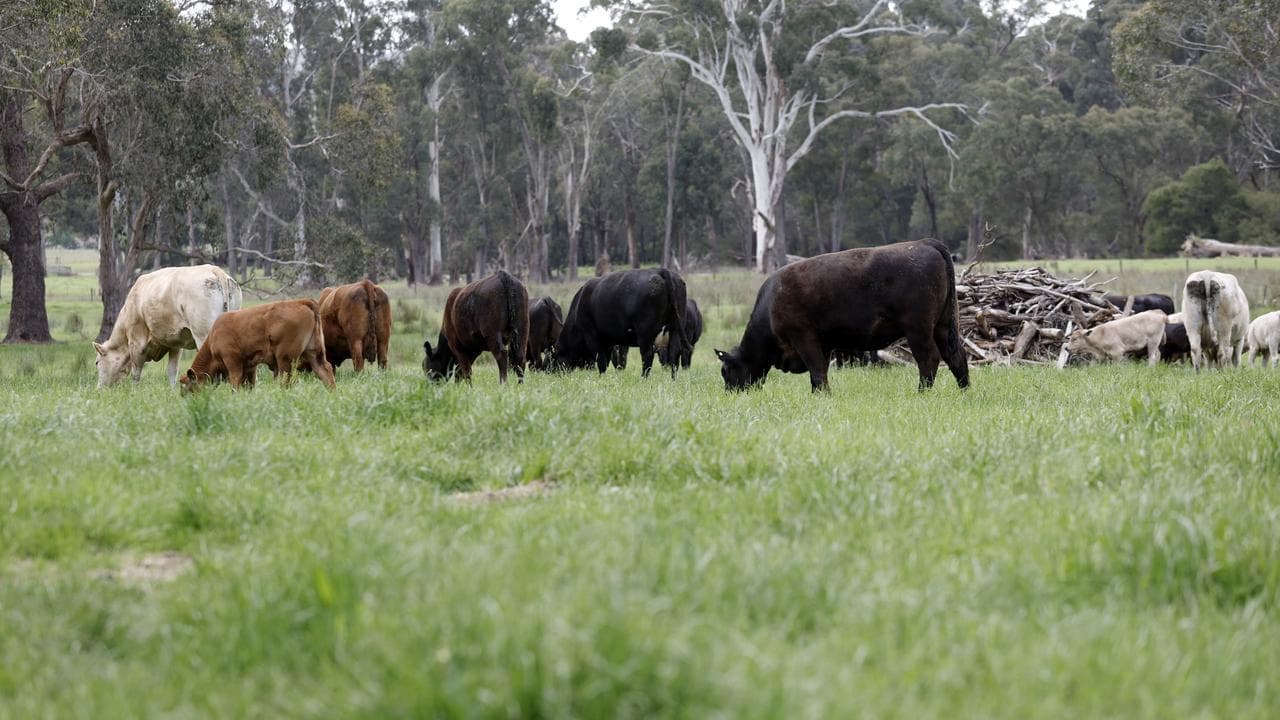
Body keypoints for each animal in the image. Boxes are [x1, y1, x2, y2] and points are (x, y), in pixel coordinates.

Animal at [94, 264, 242, 388]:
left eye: (97, 362)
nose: (99, 389)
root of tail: (216, 270)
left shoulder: (136, 342)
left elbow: (136, 372)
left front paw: (134, 392)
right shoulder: (175, 344)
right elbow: (172, 371)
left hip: (203, 334)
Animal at [179, 299, 335, 392]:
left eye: (187, 387)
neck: (213, 337)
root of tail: (302, 302)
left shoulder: (232, 362)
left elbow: (235, 382)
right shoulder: (250, 367)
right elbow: (249, 384)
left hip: (285, 358)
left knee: (286, 378)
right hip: (314, 352)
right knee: (325, 370)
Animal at [555, 268, 688, 378]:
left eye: (556, 356)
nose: (552, 371)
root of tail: (660, 271)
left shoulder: (592, 337)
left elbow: (601, 361)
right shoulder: (608, 342)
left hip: (645, 334)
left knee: (647, 355)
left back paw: (643, 377)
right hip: (675, 329)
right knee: (674, 353)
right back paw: (673, 378)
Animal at [715, 239, 969, 393]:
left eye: (725, 372)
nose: (730, 394)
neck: (770, 306)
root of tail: (925, 242)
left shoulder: (804, 338)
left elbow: (817, 371)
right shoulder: (824, 344)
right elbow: (820, 372)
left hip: (918, 329)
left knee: (929, 359)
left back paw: (921, 393)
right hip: (943, 326)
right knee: (956, 356)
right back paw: (964, 391)